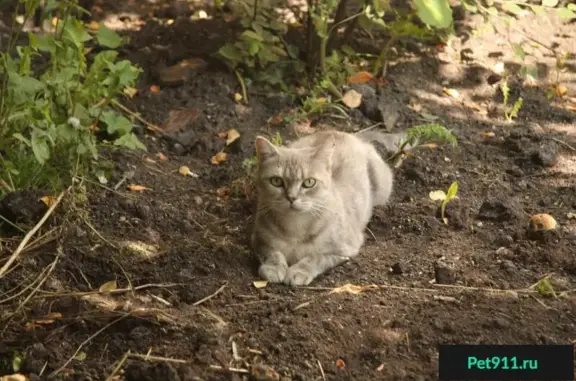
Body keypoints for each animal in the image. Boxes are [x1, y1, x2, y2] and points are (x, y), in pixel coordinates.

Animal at [250, 127, 408, 284]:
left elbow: (316, 257)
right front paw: (273, 267)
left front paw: (299, 271)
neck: (295, 227)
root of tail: (349, 134)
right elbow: (272, 252)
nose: (291, 198)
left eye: (309, 182)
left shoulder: (345, 249)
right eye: (276, 181)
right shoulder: (259, 240)